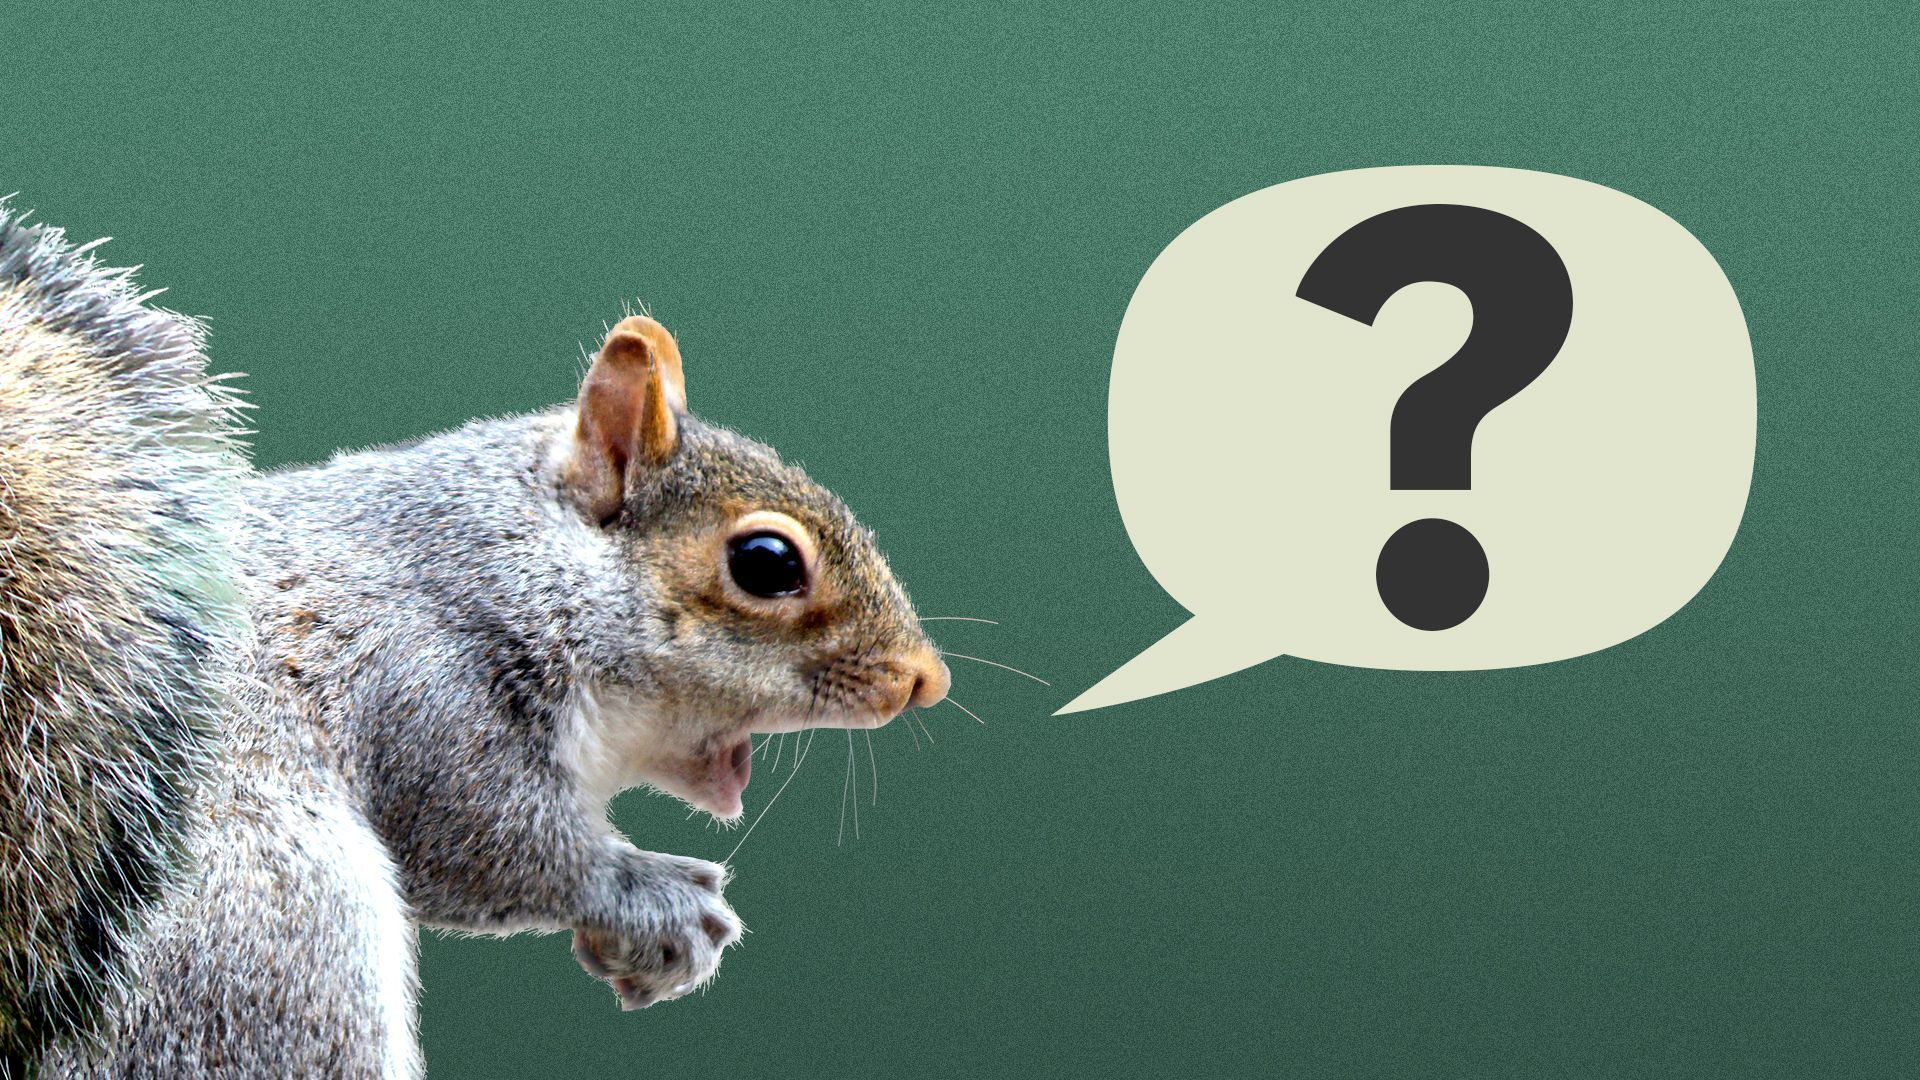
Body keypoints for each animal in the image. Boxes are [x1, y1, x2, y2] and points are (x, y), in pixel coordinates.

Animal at [0, 204, 950, 1079]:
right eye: (765, 562)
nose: (922, 682)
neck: (504, 561)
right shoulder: (418, 680)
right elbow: (486, 841)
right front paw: (651, 899)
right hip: (280, 934)